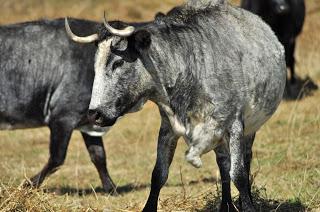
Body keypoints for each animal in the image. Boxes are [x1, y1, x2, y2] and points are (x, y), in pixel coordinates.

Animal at [0, 18, 117, 194]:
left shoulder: (89, 121)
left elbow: (98, 155)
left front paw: (111, 188)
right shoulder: (63, 118)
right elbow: (57, 158)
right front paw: (26, 186)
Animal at [66, 0, 286, 210]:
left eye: (118, 63)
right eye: (95, 65)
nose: (94, 114)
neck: (191, 67)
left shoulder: (235, 125)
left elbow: (239, 174)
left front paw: (247, 205)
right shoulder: (168, 128)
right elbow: (159, 174)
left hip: (250, 129)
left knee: (244, 161)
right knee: (223, 163)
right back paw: (226, 205)